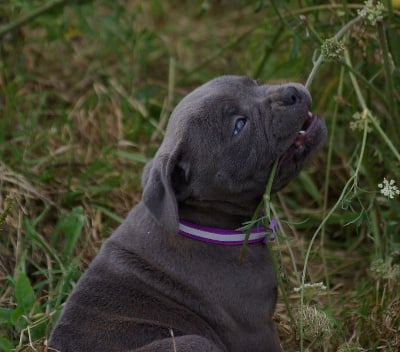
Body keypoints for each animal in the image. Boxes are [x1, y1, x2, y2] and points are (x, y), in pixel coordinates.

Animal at [48, 75, 326, 350]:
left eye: (253, 83)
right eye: (239, 125)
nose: (292, 93)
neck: (205, 222)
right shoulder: (255, 330)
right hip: (194, 341)